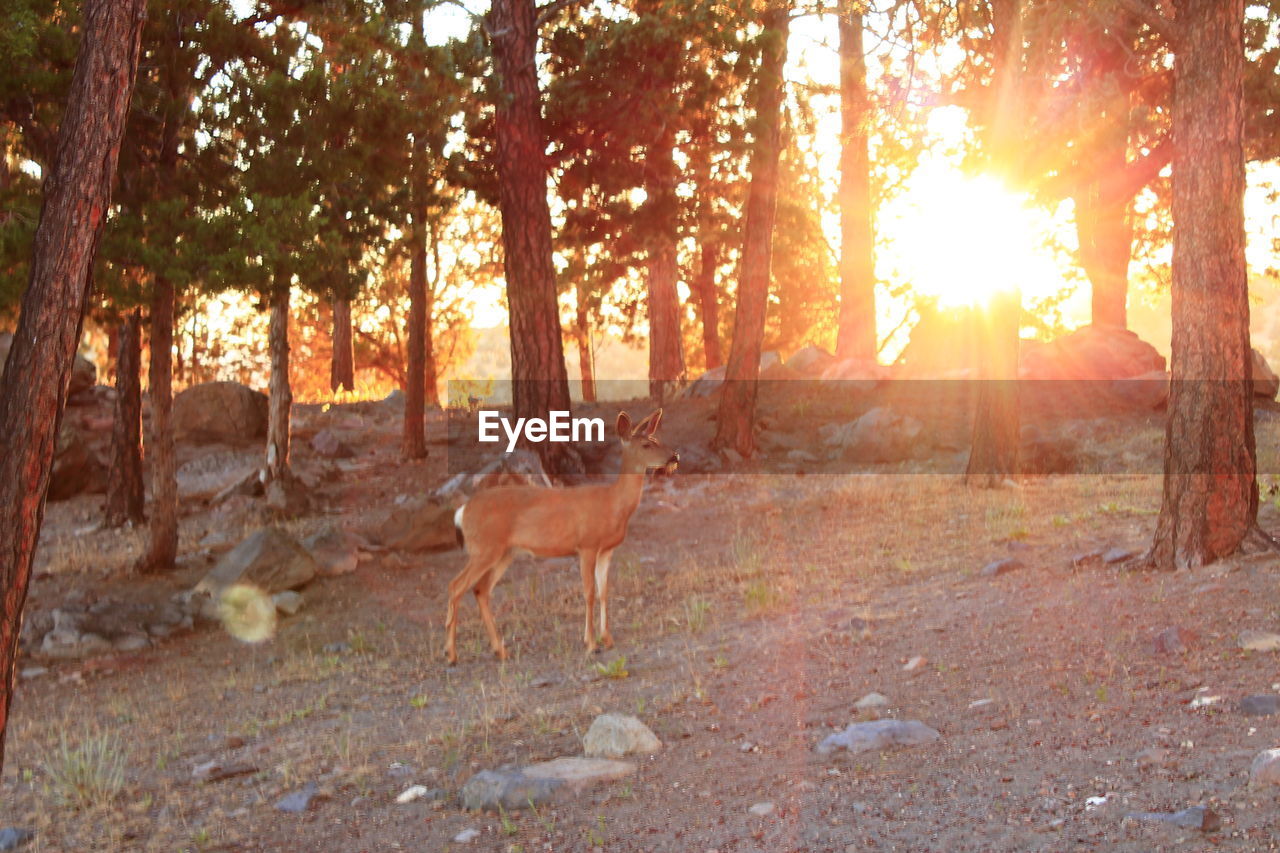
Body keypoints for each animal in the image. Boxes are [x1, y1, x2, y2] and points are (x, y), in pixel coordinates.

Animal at [442, 407, 675, 666]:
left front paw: (607, 639)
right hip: (484, 548)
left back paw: (500, 650)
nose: (673, 457)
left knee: (481, 590)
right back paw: (451, 654)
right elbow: (589, 592)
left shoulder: (606, 549)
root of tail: (462, 511)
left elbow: (604, 591)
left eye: (657, 440)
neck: (613, 504)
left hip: (504, 552)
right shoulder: (586, 545)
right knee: (455, 586)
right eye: (646, 445)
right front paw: (591, 644)